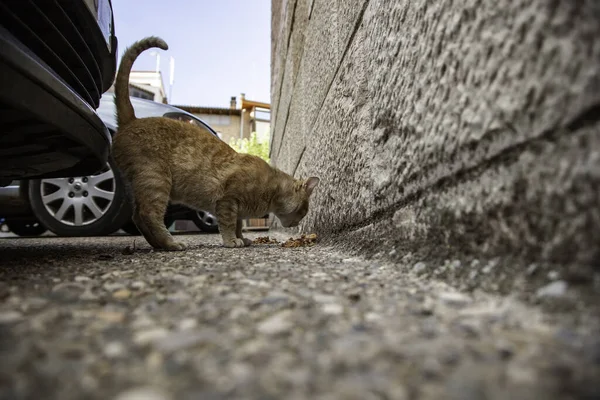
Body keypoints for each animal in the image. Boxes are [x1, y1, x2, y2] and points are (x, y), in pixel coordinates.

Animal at [111, 37, 318, 250]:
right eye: (303, 210)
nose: (297, 223)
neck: (271, 186)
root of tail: (131, 120)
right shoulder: (227, 201)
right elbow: (228, 224)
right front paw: (232, 241)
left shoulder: (237, 210)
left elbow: (238, 225)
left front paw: (242, 238)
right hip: (155, 180)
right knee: (148, 214)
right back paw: (170, 243)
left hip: (137, 186)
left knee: (137, 217)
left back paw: (159, 245)